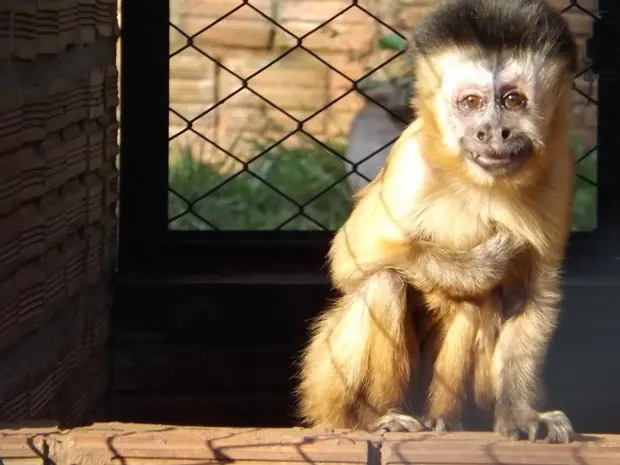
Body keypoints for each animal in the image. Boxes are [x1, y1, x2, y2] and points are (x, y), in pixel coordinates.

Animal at [298, 0, 580, 442]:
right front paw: (480, 266)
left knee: (478, 307)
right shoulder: (411, 160)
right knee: (385, 284)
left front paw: (520, 414)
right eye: (472, 103)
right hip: (322, 385)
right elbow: (349, 258)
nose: (492, 132)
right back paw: (376, 419)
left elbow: (537, 293)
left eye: (513, 100)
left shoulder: (561, 170)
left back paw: (447, 418)